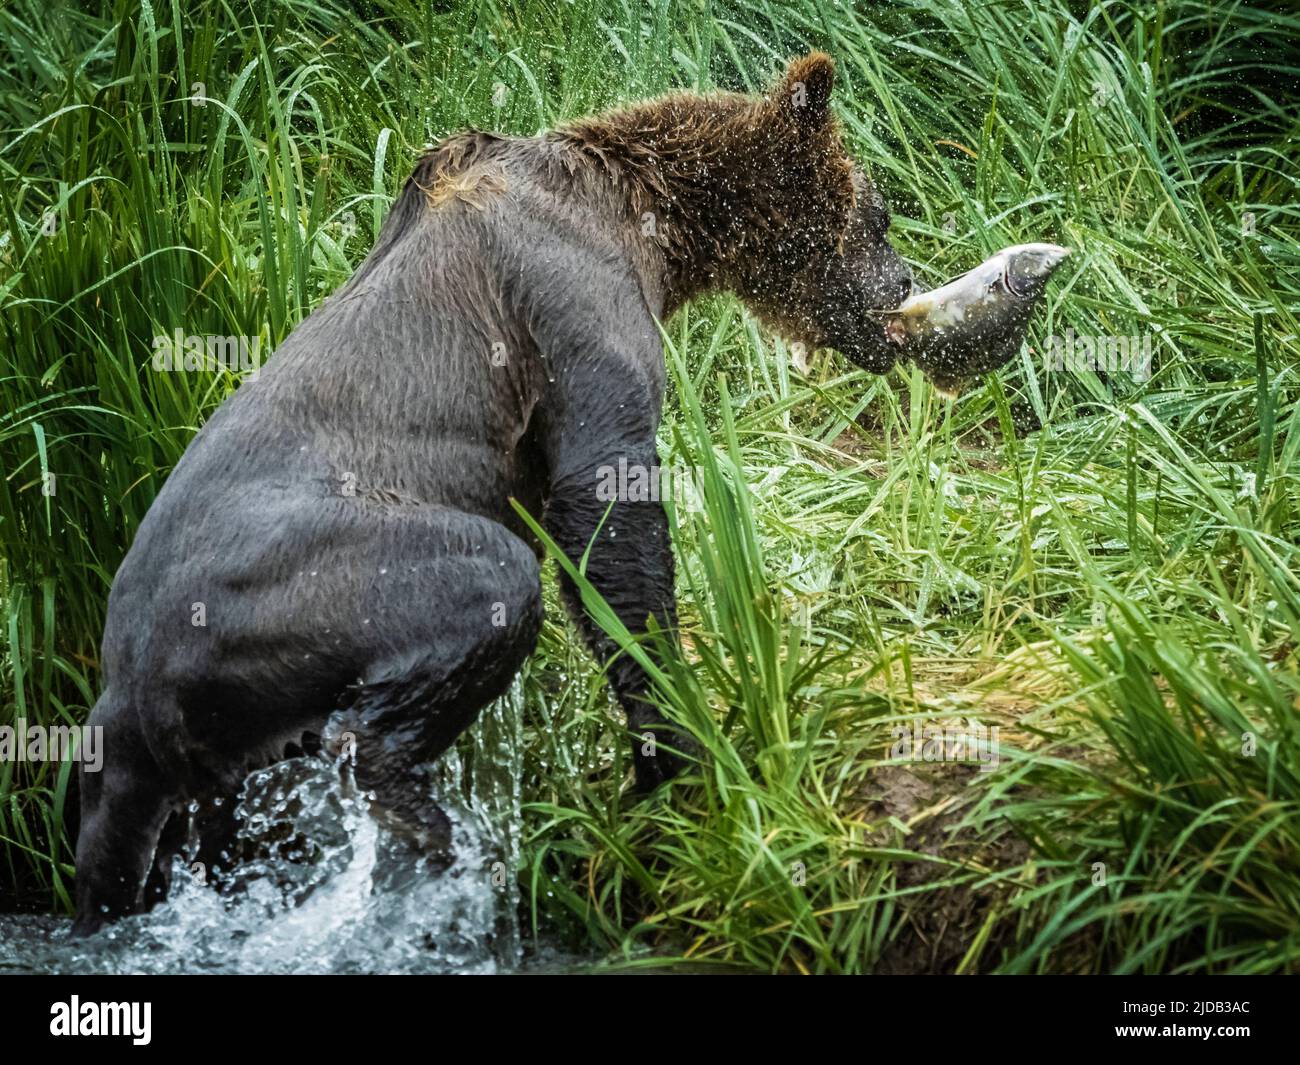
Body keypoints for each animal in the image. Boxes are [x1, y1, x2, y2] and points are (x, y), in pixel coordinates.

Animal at [73, 52, 915, 931]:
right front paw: (680, 745)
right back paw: (423, 820)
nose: (906, 280)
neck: (652, 220)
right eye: (880, 216)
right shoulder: (572, 299)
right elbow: (607, 504)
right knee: (485, 582)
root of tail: (129, 681)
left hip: (184, 745)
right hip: (295, 581)